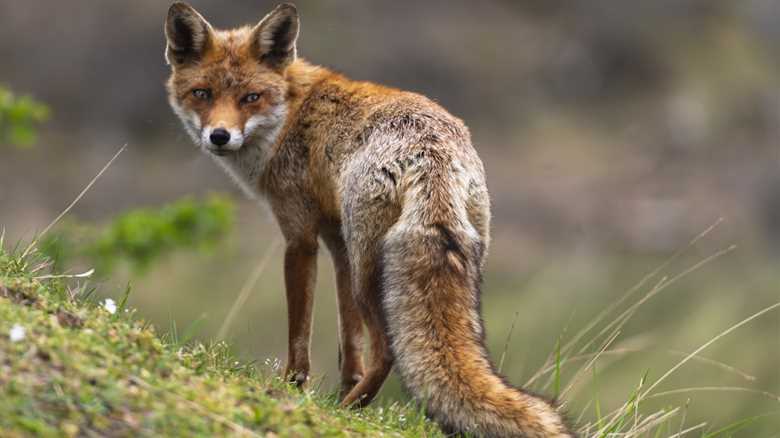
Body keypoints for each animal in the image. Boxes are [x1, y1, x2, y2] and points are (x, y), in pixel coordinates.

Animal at [165, 2, 572, 437]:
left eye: (251, 98)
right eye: (202, 94)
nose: (219, 136)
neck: (290, 115)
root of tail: (432, 154)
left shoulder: (300, 236)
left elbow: (300, 331)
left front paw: (294, 388)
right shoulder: (338, 241)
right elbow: (349, 337)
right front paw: (343, 383)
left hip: (369, 274)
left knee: (388, 350)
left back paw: (346, 411)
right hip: (417, 260)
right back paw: (351, 402)